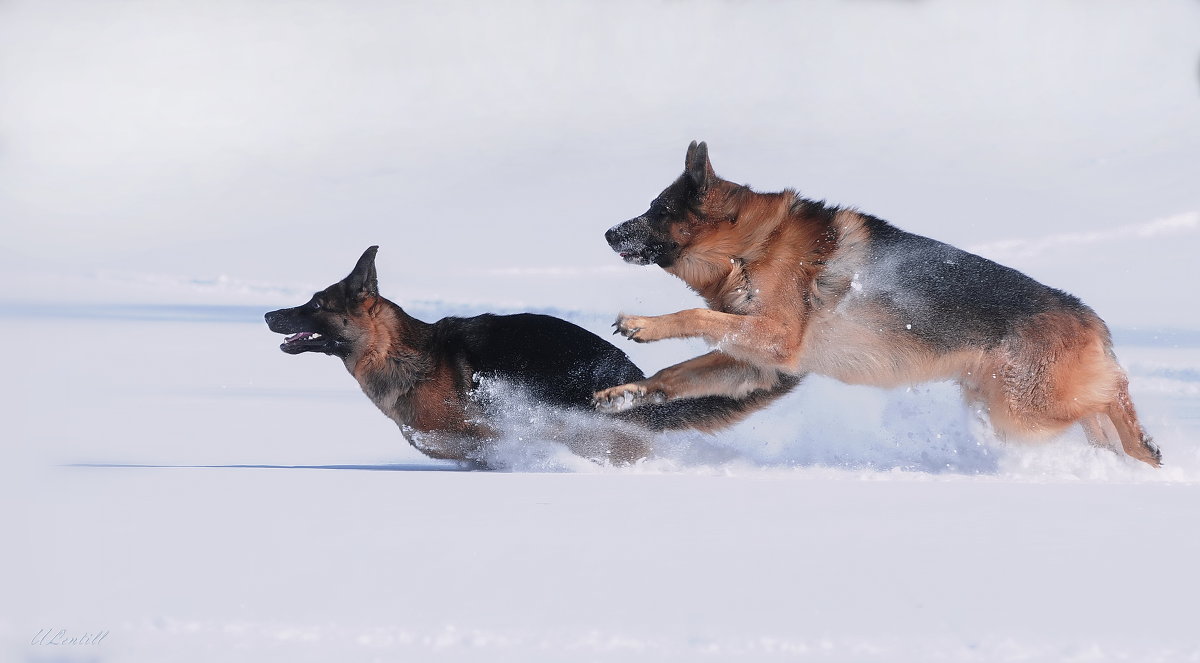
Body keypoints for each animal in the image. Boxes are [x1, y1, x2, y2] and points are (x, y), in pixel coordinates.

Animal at [600, 142, 1161, 466]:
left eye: (657, 210)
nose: (606, 233)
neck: (753, 245)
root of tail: (1090, 319)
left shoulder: (775, 340)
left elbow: (695, 316)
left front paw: (644, 324)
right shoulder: (756, 364)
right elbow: (675, 375)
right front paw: (625, 393)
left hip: (1022, 411)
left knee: (1110, 394)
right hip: (1010, 407)